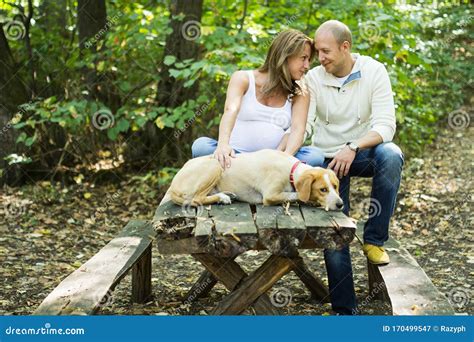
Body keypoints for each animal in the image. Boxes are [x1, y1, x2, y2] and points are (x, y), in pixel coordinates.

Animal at [168, 150, 342, 210]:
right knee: (197, 199)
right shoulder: (270, 195)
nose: (341, 204)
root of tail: (171, 187)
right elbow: (295, 195)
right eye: (323, 189)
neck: (292, 170)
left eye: (335, 186)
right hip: (215, 165)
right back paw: (222, 198)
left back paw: (226, 195)